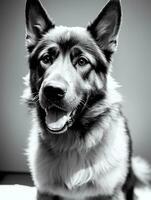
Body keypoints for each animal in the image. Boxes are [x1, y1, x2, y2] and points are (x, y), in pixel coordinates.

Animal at [22, 0, 151, 199]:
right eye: (46, 58)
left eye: (82, 61)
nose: (53, 91)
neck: (71, 143)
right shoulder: (44, 192)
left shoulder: (112, 193)